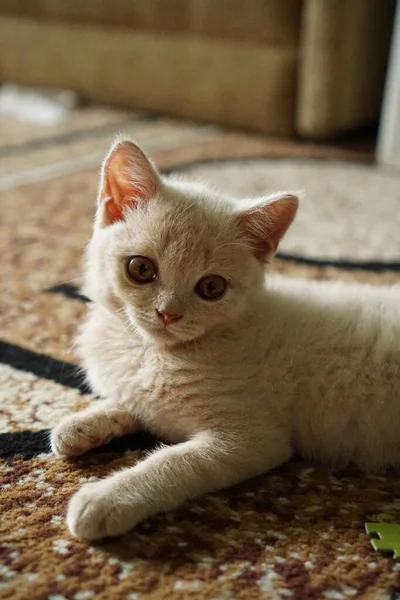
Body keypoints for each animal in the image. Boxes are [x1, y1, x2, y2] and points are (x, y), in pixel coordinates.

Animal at [51, 139, 400, 540]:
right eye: (141, 268)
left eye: (211, 288)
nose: (168, 313)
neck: (150, 352)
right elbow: (131, 401)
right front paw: (81, 425)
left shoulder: (254, 440)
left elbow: (176, 462)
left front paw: (105, 499)